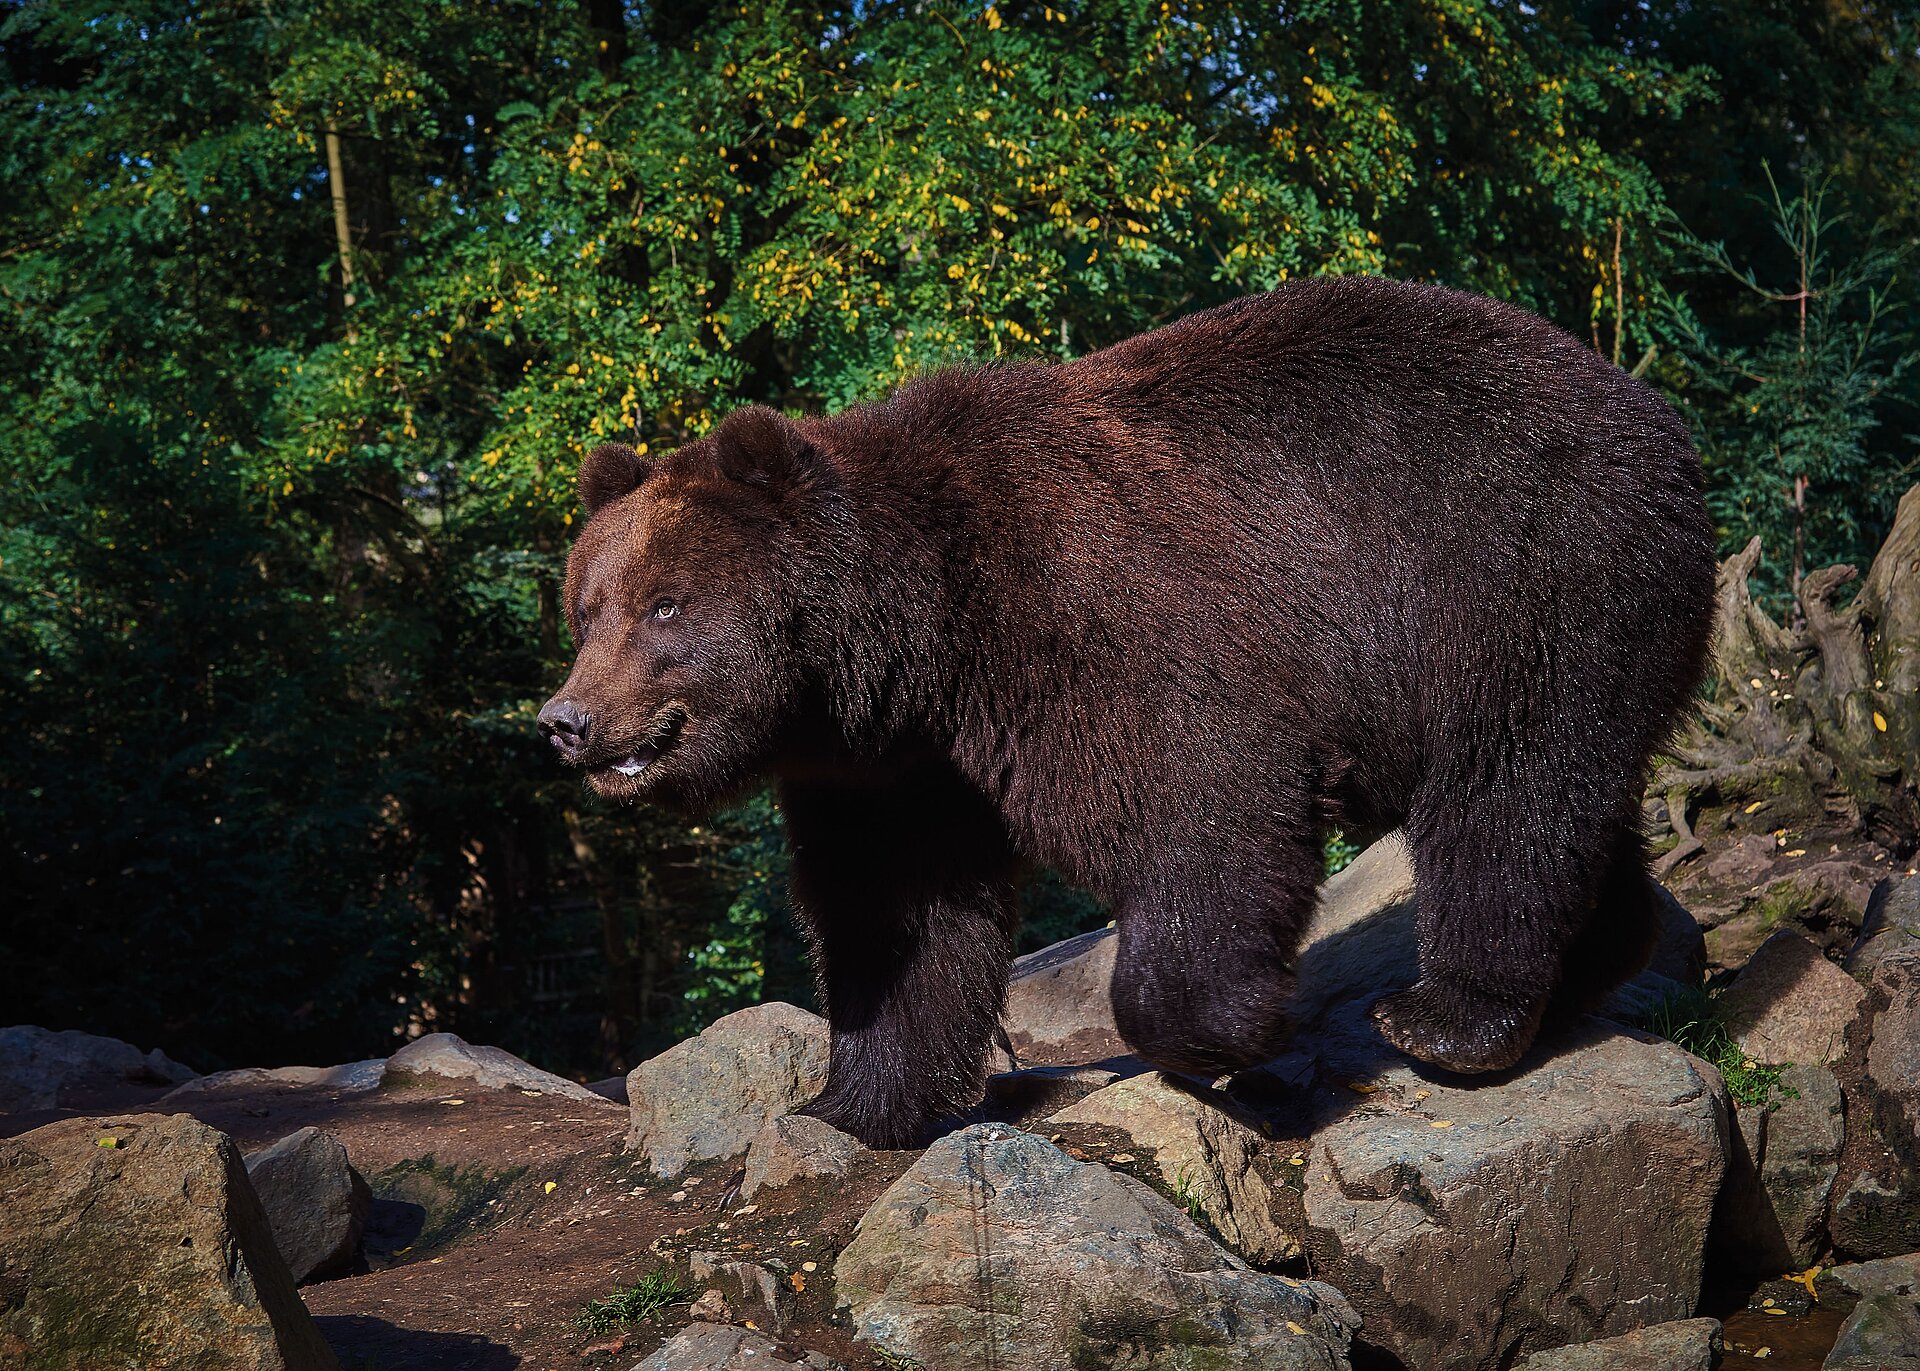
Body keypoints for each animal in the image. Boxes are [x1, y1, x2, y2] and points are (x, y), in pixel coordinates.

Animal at [537, 274, 1712, 1144]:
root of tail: (1643, 402)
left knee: (1505, 792)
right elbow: (896, 917)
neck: (921, 642)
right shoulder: (892, 769)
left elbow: (1203, 804)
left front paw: (1224, 1033)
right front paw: (854, 1102)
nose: (565, 720)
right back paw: (1593, 961)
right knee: (1563, 800)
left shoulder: (1108, 625)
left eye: (665, 604)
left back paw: (1447, 1018)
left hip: (1521, 574)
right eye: (586, 607)